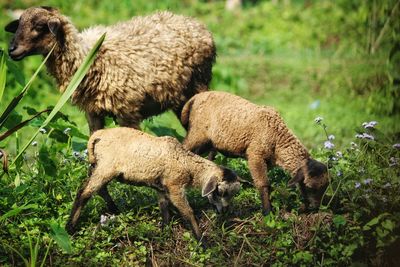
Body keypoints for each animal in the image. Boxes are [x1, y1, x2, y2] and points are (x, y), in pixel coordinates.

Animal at [3, 7, 216, 134]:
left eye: (40, 27)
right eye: (18, 25)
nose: (12, 50)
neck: (88, 57)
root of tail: (197, 24)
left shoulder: (127, 111)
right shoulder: (93, 112)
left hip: (198, 83)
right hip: (179, 98)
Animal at [65, 127, 241, 241]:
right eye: (221, 192)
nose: (225, 211)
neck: (187, 164)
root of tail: (98, 135)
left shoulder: (161, 187)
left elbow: (164, 209)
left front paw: (164, 232)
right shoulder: (174, 186)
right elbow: (188, 212)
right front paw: (201, 241)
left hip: (99, 166)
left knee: (98, 189)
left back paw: (114, 210)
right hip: (106, 167)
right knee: (84, 192)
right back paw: (69, 228)